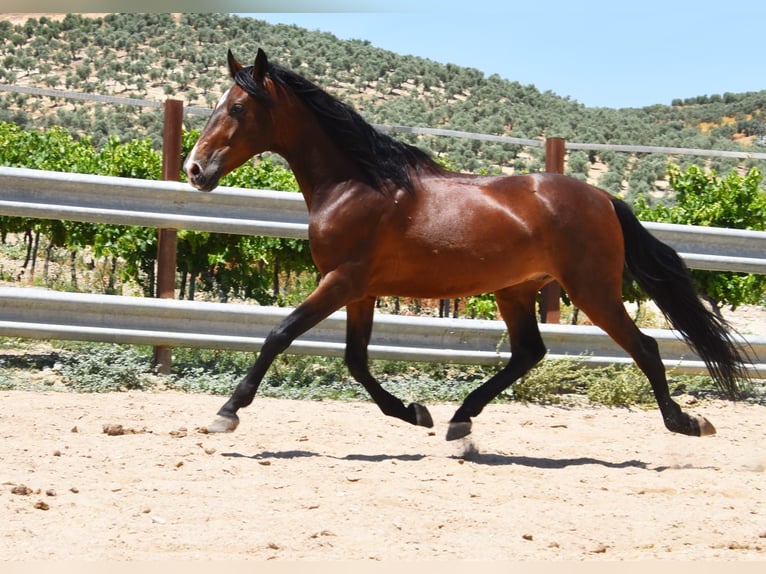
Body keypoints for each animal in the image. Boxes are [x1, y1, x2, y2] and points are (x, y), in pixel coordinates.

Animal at [184, 48, 751, 441]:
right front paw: (414, 412)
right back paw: (460, 418)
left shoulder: (340, 281)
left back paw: (685, 422)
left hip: (591, 291)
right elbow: (356, 360)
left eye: (237, 107)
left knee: (645, 349)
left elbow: (279, 335)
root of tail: (604, 199)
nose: (194, 169)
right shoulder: (360, 290)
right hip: (516, 290)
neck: (357, 184)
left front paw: (226, 413)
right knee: (529, 352)